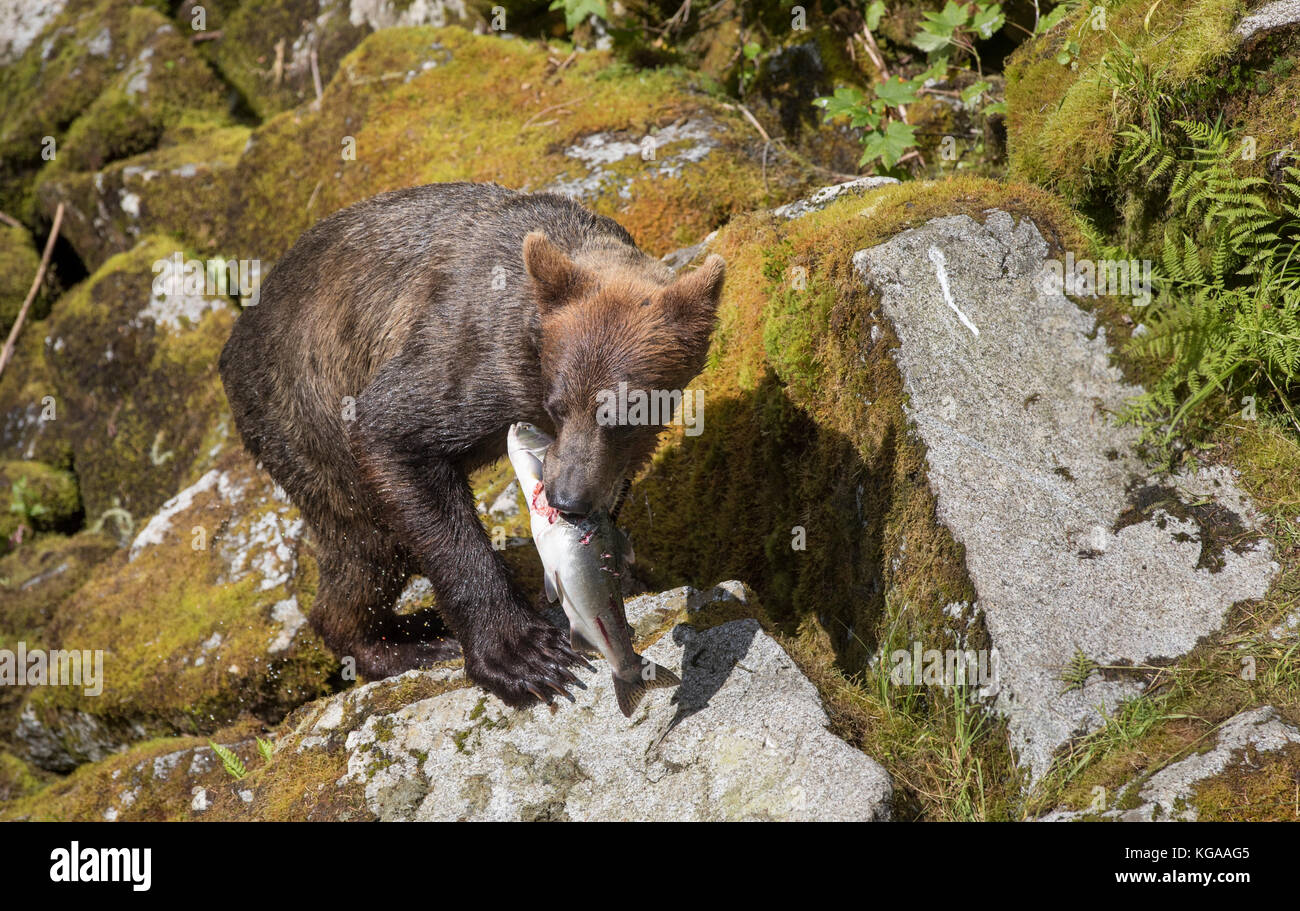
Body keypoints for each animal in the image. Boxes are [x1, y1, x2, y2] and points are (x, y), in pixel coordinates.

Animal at [214, 180, 722, 706]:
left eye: (627, 416)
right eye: (557, 405)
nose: (567, 499)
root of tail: (235, 339)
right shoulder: (472, 358)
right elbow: (396, 438)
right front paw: (523, 654)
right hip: (304, 412)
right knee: (366, 541)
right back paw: (401, 645)